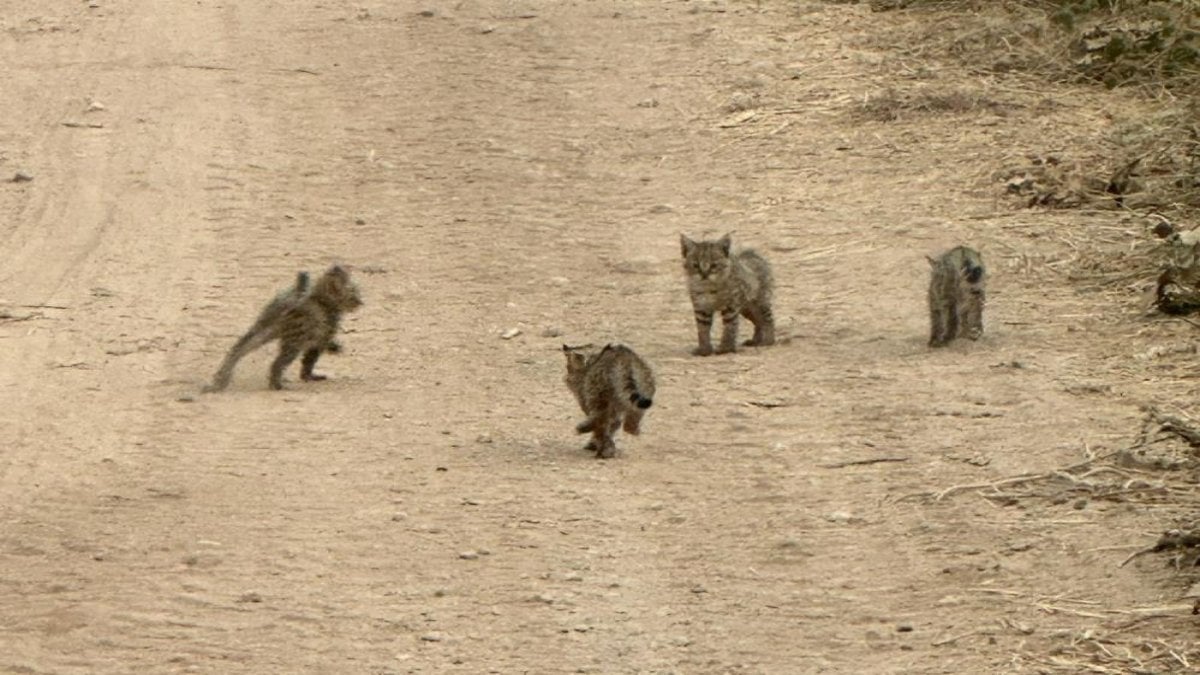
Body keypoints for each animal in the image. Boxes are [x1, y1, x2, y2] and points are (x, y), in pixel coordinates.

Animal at [204, 263, 362, 389]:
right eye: (354, 292)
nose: (361, 302)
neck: (322, 299)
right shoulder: (322, 335)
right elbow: (309, 360)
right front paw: (308, 376)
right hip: (293, 341)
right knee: (276, 363)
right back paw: (276, 385)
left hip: (263, 327)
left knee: (238, 348)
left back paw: (220, 379)